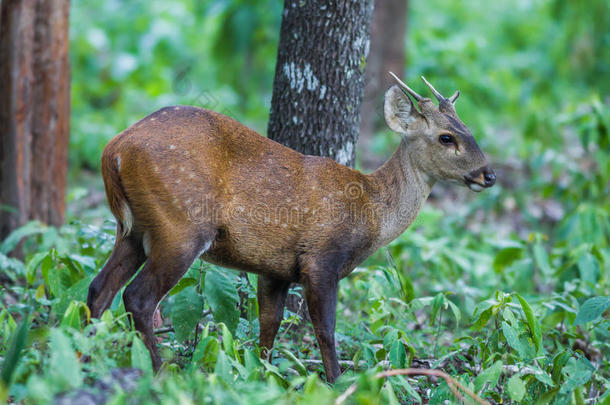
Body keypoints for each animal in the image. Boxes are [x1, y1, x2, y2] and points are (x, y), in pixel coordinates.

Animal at [86, 73, 494, 382]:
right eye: (446, 137)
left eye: (470, 129)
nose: (488, 175)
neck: (371, 210)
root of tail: (113, 151)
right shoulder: (322, 257)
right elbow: (325, 329)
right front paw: (337, 382)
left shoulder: (274, 269)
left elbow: (268, 326)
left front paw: (261, 375)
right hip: (180, 227)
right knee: (137, 297)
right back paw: (158, 373)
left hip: (133, 231)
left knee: (98, 288)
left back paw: (87, 356)